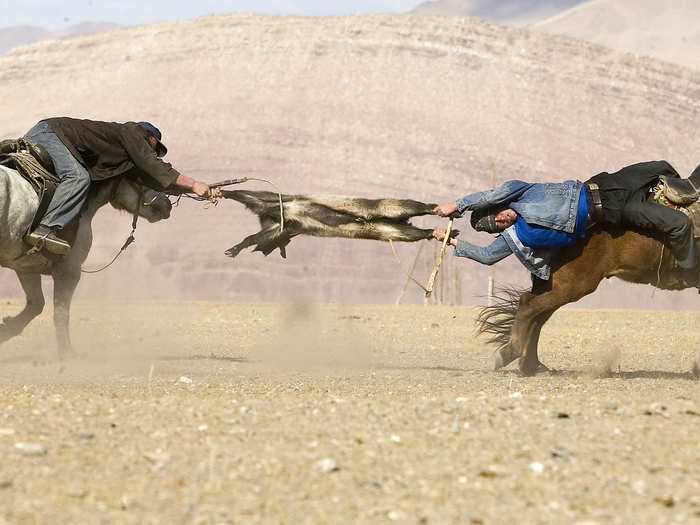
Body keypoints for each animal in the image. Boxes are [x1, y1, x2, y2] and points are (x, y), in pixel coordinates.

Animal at [0, 165, 172, 356]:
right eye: (141, 177)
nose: (167, 204)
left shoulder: (26, 266)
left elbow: (36, 304)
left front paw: (6, 328)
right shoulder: (69, 271)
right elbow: (61, 312)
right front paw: (66, 352)